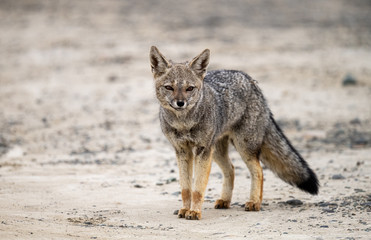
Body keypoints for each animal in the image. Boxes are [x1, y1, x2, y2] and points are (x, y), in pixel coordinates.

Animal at [150, 46, 318, 220]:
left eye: (189, 88)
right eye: (169, 87)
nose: (180, 103)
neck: (184, 123)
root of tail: (250, 80)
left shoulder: (202, 150)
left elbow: (197, 188)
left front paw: (195, 211)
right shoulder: (182, 151)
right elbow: (185, 188)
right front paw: (185, 209)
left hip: (242, 147)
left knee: (258, 171)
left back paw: (254, 202)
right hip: (217, 151)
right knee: (231, 169)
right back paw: (225, 200)